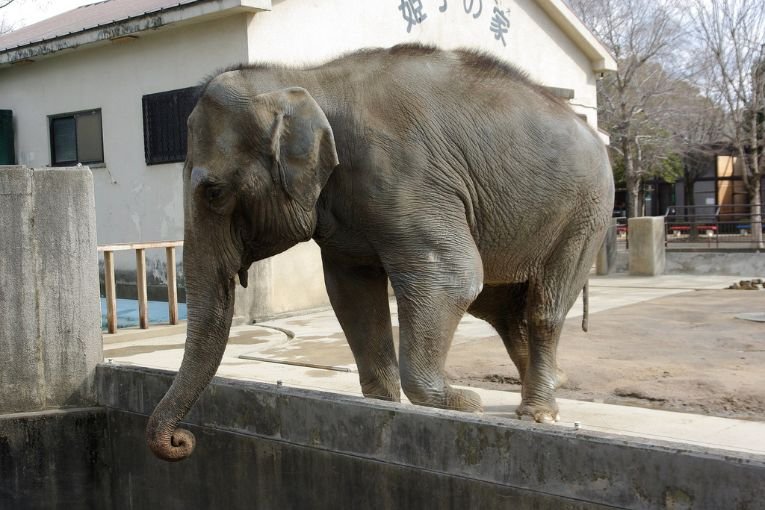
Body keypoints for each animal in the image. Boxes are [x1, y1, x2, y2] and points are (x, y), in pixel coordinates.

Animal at [148, 44, 616, 462]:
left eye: (213, 192)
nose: (182, 440)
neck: (308, 79)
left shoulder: (408, 177)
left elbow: (452, 277)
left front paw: (464, 403)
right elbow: (351, 291)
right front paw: (383, 404)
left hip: (586, 213)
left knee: (543, 308)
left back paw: (539, 414)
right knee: (500, 309)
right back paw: (548, 389)